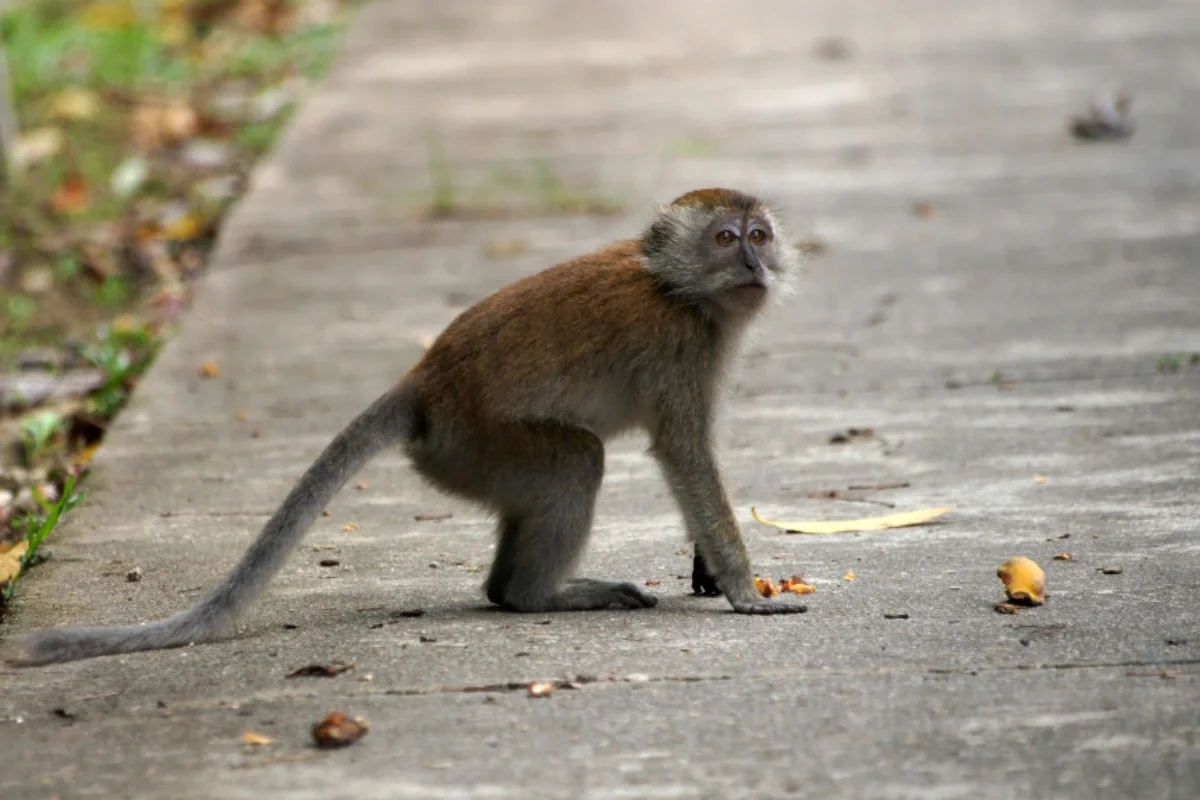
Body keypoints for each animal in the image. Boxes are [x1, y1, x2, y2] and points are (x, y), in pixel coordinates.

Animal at [7, 188, 806, 671]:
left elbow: (687, 458)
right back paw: (537, 596)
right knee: (578, 459)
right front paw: (744, 591)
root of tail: (425, 381)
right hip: (477, 444)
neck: (679, 290)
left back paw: (509, 590)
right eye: (725, 236)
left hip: (471, 458)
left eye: (759, 234)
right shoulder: (681, 346)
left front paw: (709, 570)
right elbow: (683, 452)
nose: (753, 262)